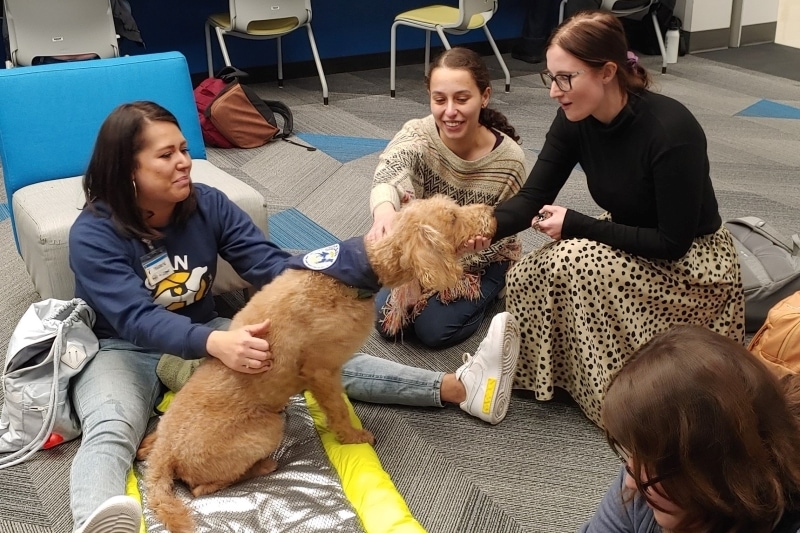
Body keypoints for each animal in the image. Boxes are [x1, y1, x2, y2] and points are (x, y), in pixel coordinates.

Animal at [136, 194, 494, 532]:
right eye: (452, 217)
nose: (490, 211)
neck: (359, 271)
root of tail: (167, 454)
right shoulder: (322, 372)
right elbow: (338, 411)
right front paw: (352, 436)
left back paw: (148, 446)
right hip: (265, 429)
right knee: (200, 489)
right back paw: (262, 466)